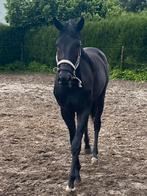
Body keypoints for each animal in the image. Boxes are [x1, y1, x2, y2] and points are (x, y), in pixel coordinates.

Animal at [53, 17, 108, 191]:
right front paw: (77, 173)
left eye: (77, 45)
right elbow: (73, 138)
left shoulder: (84, 109)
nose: (64, 77)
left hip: (100, 99)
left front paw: (71, 181)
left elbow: (75, 144)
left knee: (96, 124)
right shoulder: (66, 111)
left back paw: (94, 154)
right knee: (83, 129)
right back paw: (88, 148)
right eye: (57, 44)